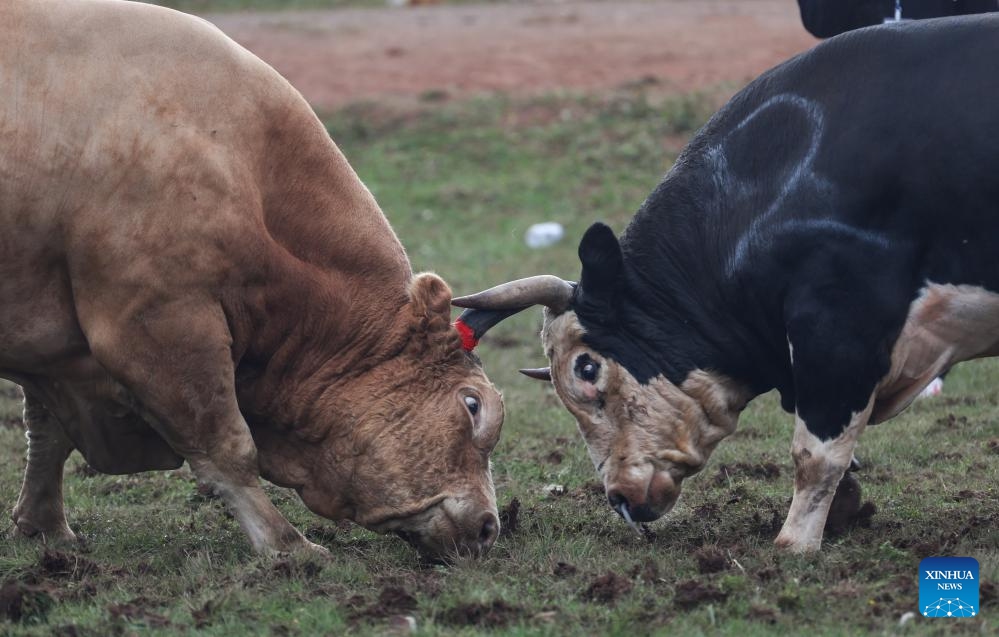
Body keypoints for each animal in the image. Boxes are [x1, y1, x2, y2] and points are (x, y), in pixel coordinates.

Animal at [0, 0, 500, 556]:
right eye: (474, 404)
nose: (489, 527)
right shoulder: (161, 324)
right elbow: (226, 444)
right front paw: (289, 548)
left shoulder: (55, 344)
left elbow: (47, 432)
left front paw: (45, 525)